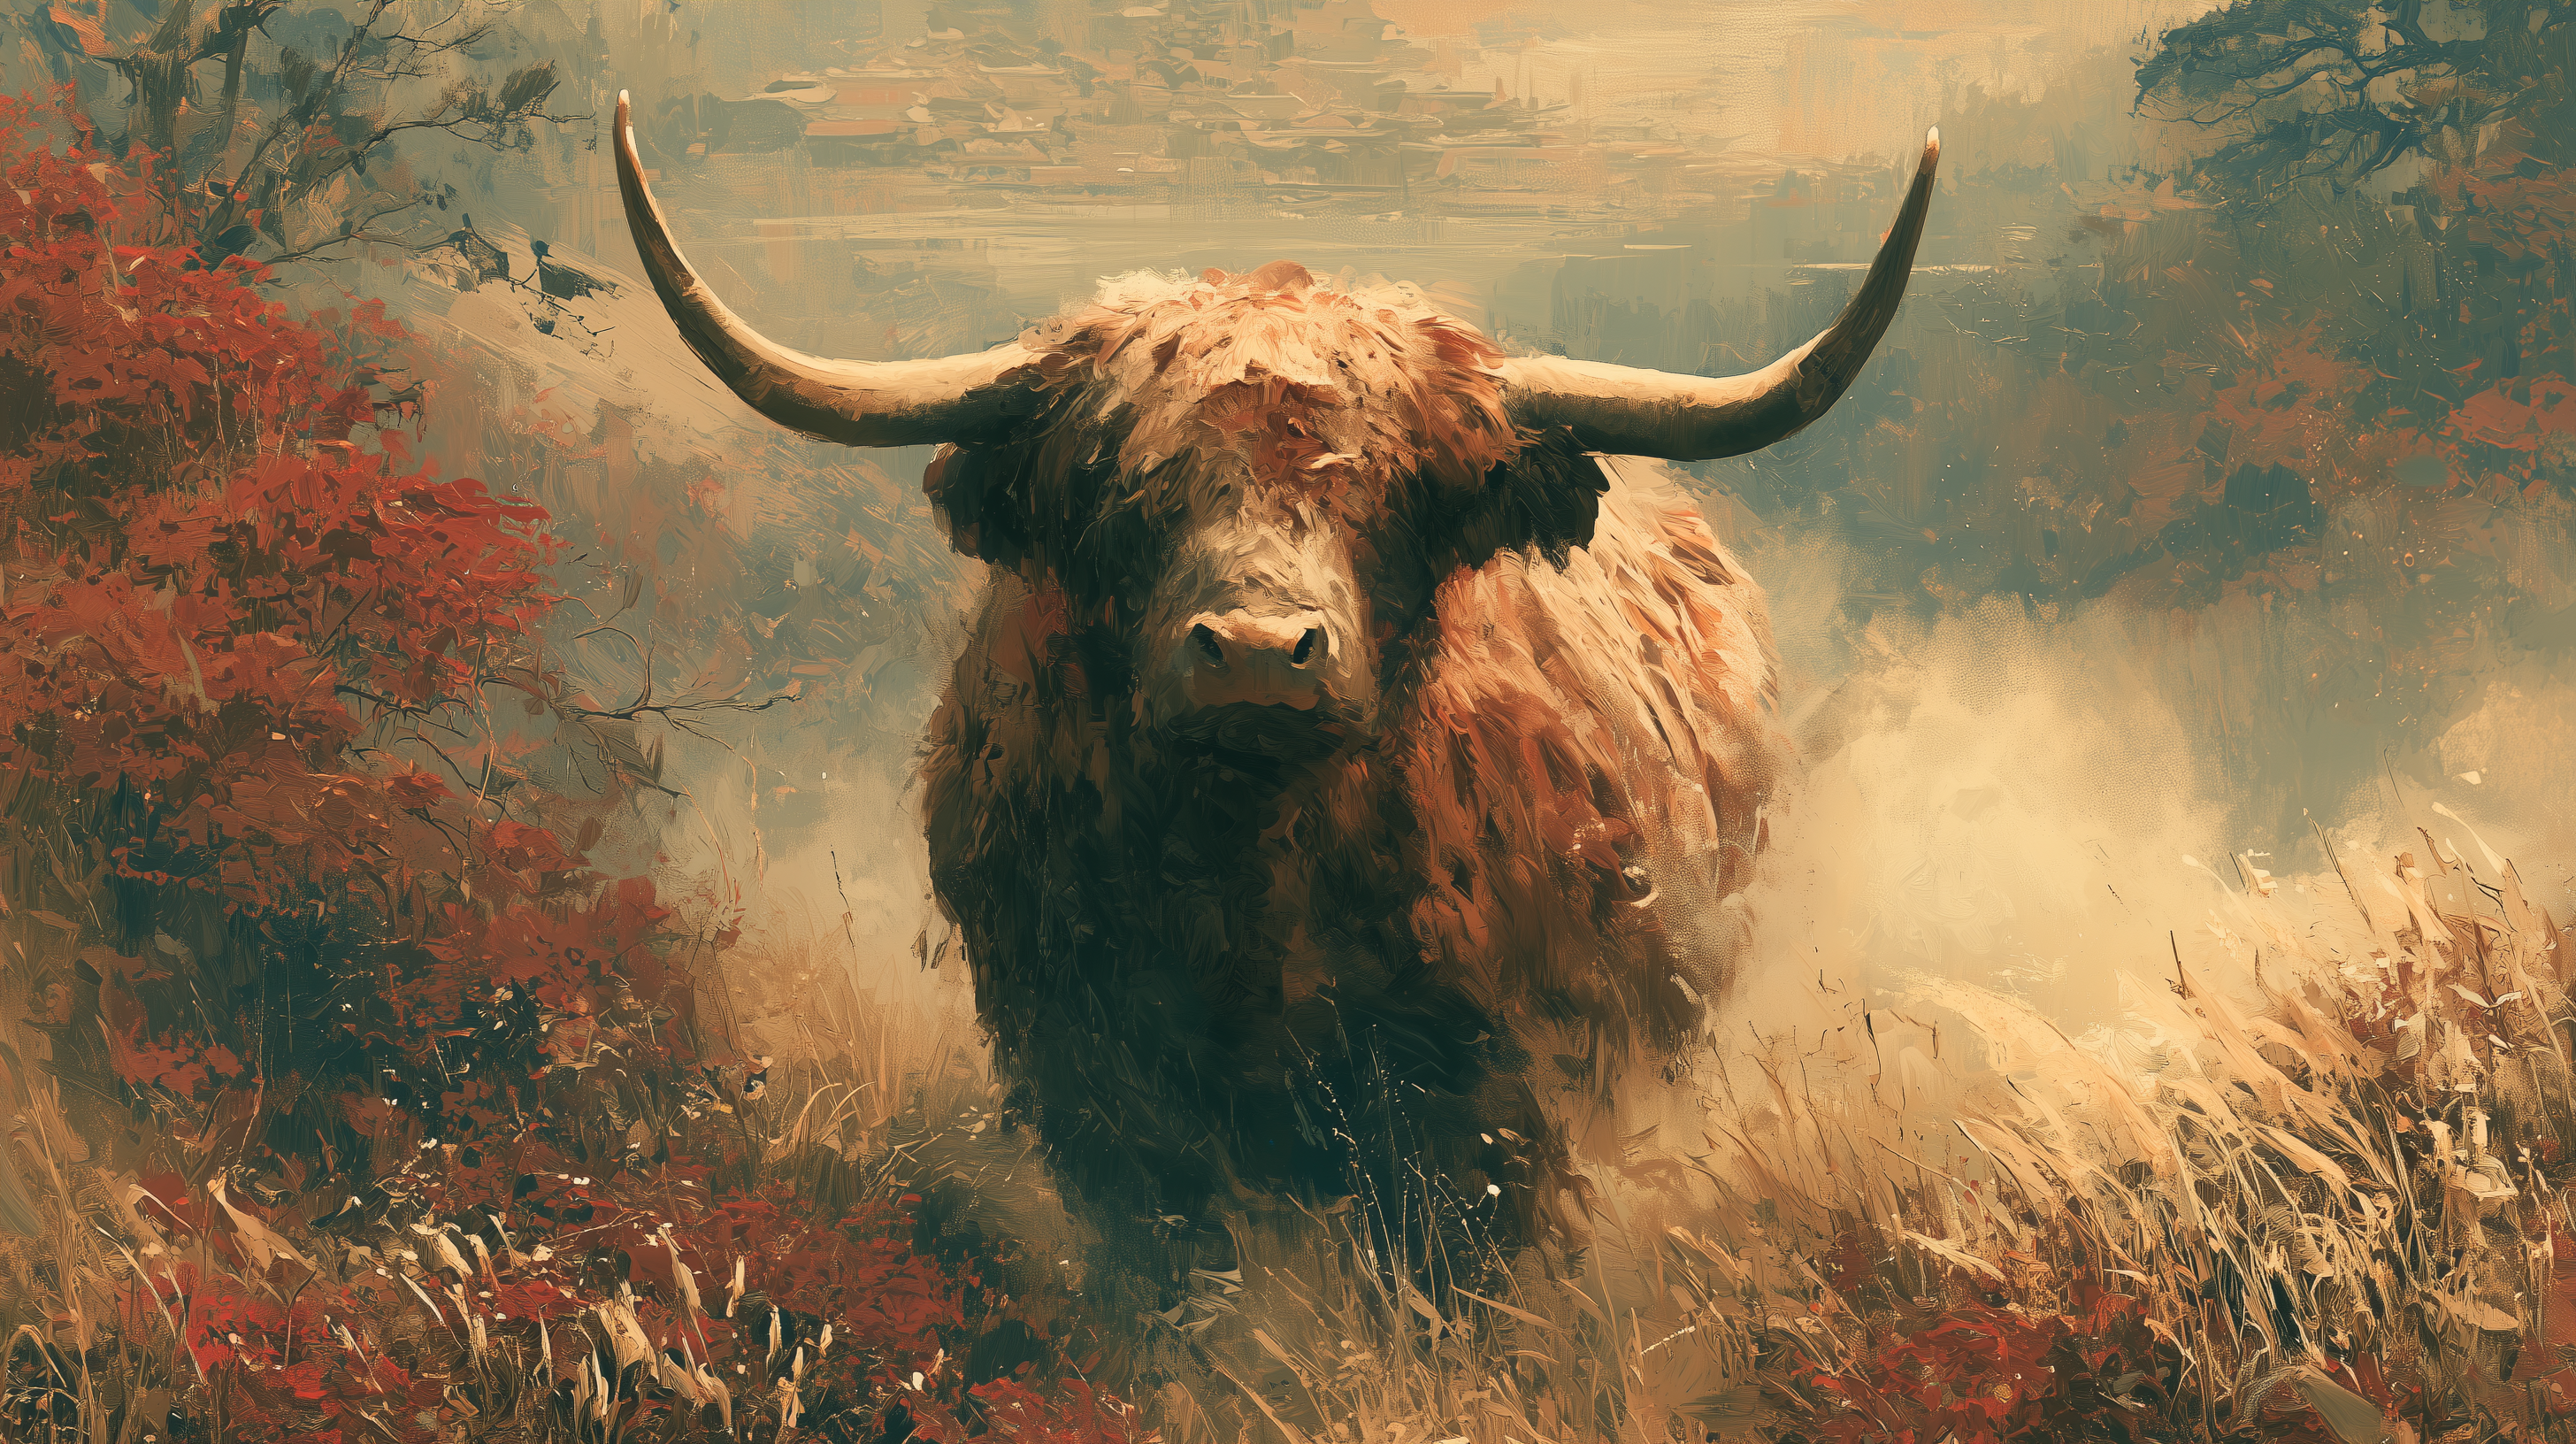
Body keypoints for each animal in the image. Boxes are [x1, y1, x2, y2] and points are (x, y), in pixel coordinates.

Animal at [612, 95, 1936, 1269]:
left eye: (1396, 490)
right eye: (1123, 483)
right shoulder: (1099, 1091)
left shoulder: (1496, 1102)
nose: (1257, 655)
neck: (1251, 886)